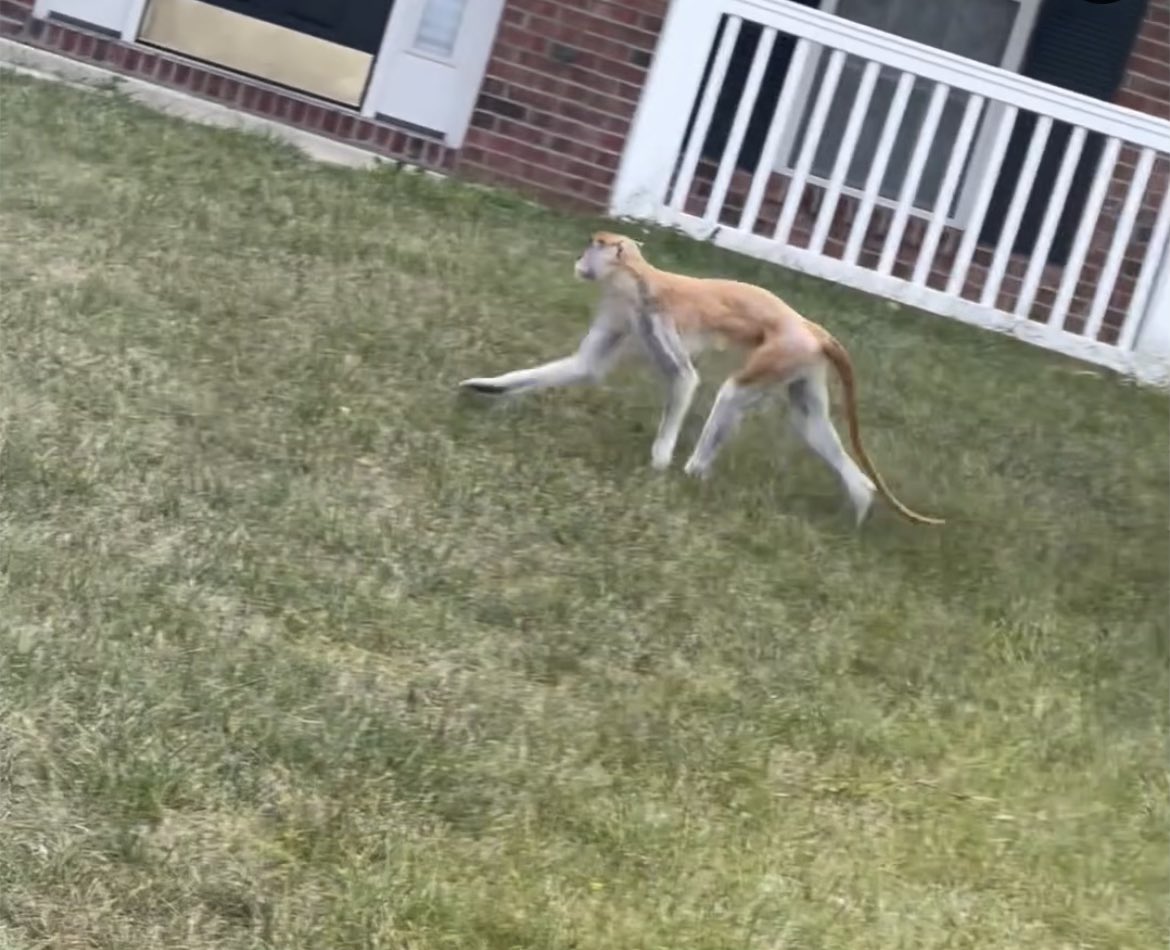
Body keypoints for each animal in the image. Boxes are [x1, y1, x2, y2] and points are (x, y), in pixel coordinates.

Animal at [458, 231, 943, 527]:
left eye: (594, 245)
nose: (580, 259)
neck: (640, 276)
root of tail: (812, 328)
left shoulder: (655, 313)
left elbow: (686, 380)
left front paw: (659, 463)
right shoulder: (626, 313)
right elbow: (585, 366)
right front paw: (488, 386)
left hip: (782, 349)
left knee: (732, 393)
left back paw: (692, 473)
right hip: (800, 364)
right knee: (810, 423)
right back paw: (860, 499)